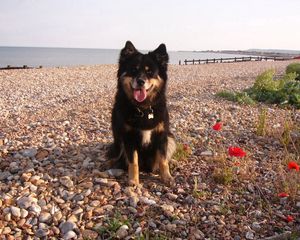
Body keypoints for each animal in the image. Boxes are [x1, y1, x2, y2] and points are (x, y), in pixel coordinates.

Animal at [107, 41, 176, 186]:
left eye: (150, 72)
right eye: (134, 70)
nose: (140, 81)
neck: (143, 109)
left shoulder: (162, 136)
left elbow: (163, 160)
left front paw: (166, 177)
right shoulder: (128, 138)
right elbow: (133, 163)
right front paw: (133, 181)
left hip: (171, 137)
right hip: (118, 140)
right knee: (116, 156)